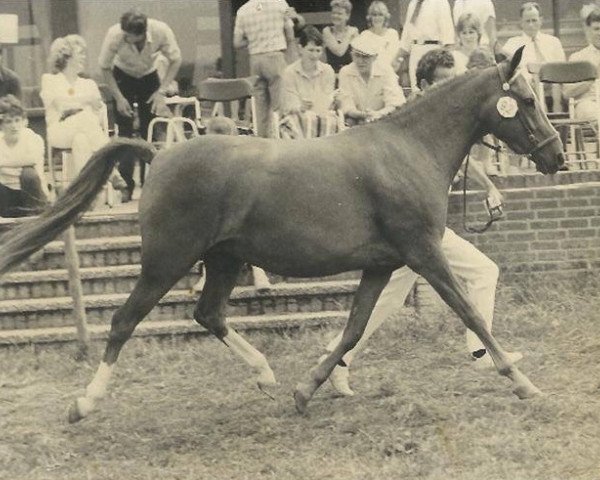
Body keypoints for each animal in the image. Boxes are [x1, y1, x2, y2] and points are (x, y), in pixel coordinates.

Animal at [0, 48, 564, 422]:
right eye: (525, 100)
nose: (556, 155)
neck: (407, 151)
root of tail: (157, 155)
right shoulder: (423, 253)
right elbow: (470, 312)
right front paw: (523, 383)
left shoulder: (382, 264)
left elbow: (354, 329)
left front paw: (306, 389)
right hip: (167, 261)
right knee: (123, 321)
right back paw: (84, 403)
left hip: (224, 260)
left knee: (208, 314)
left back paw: (266, 374)